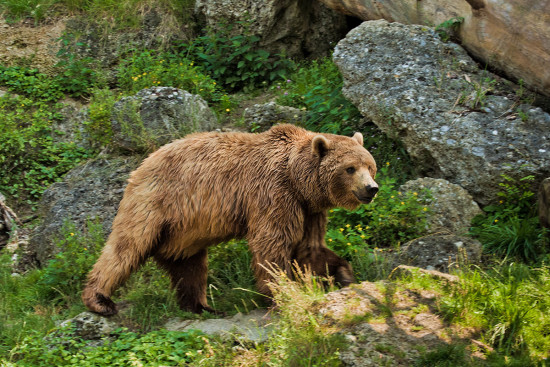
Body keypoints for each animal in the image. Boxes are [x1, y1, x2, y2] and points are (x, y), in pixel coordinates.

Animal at [82, 124, 380, 316]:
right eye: (350, 168)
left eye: (370, 166)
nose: (371, 189)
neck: (299, 181)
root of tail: (141, 164)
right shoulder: (273, 194)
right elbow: (272, 245)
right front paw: (283, 293)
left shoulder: (309, 210)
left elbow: (310, 248)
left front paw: (344, 274)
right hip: (156, 202)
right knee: (127, 246)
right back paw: (100, 300)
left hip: (183, 231)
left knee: (188, 264)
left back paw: (202, 306)